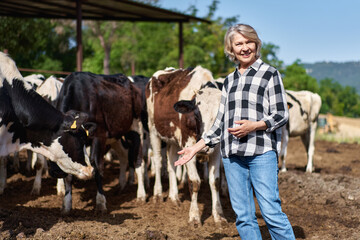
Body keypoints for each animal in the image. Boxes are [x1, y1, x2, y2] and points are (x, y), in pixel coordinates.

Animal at [146, 66, 225, 225]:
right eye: (196, 115)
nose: (206, 146)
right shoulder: (187, 145)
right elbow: (194, 182)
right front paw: (194, 216)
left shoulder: (216, 149)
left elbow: (215, 182)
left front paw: (218, 215)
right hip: (153, 130)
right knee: (158, 161)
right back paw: (158, 194)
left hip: (173, 140)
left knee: (171, 163)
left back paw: (174, 196)